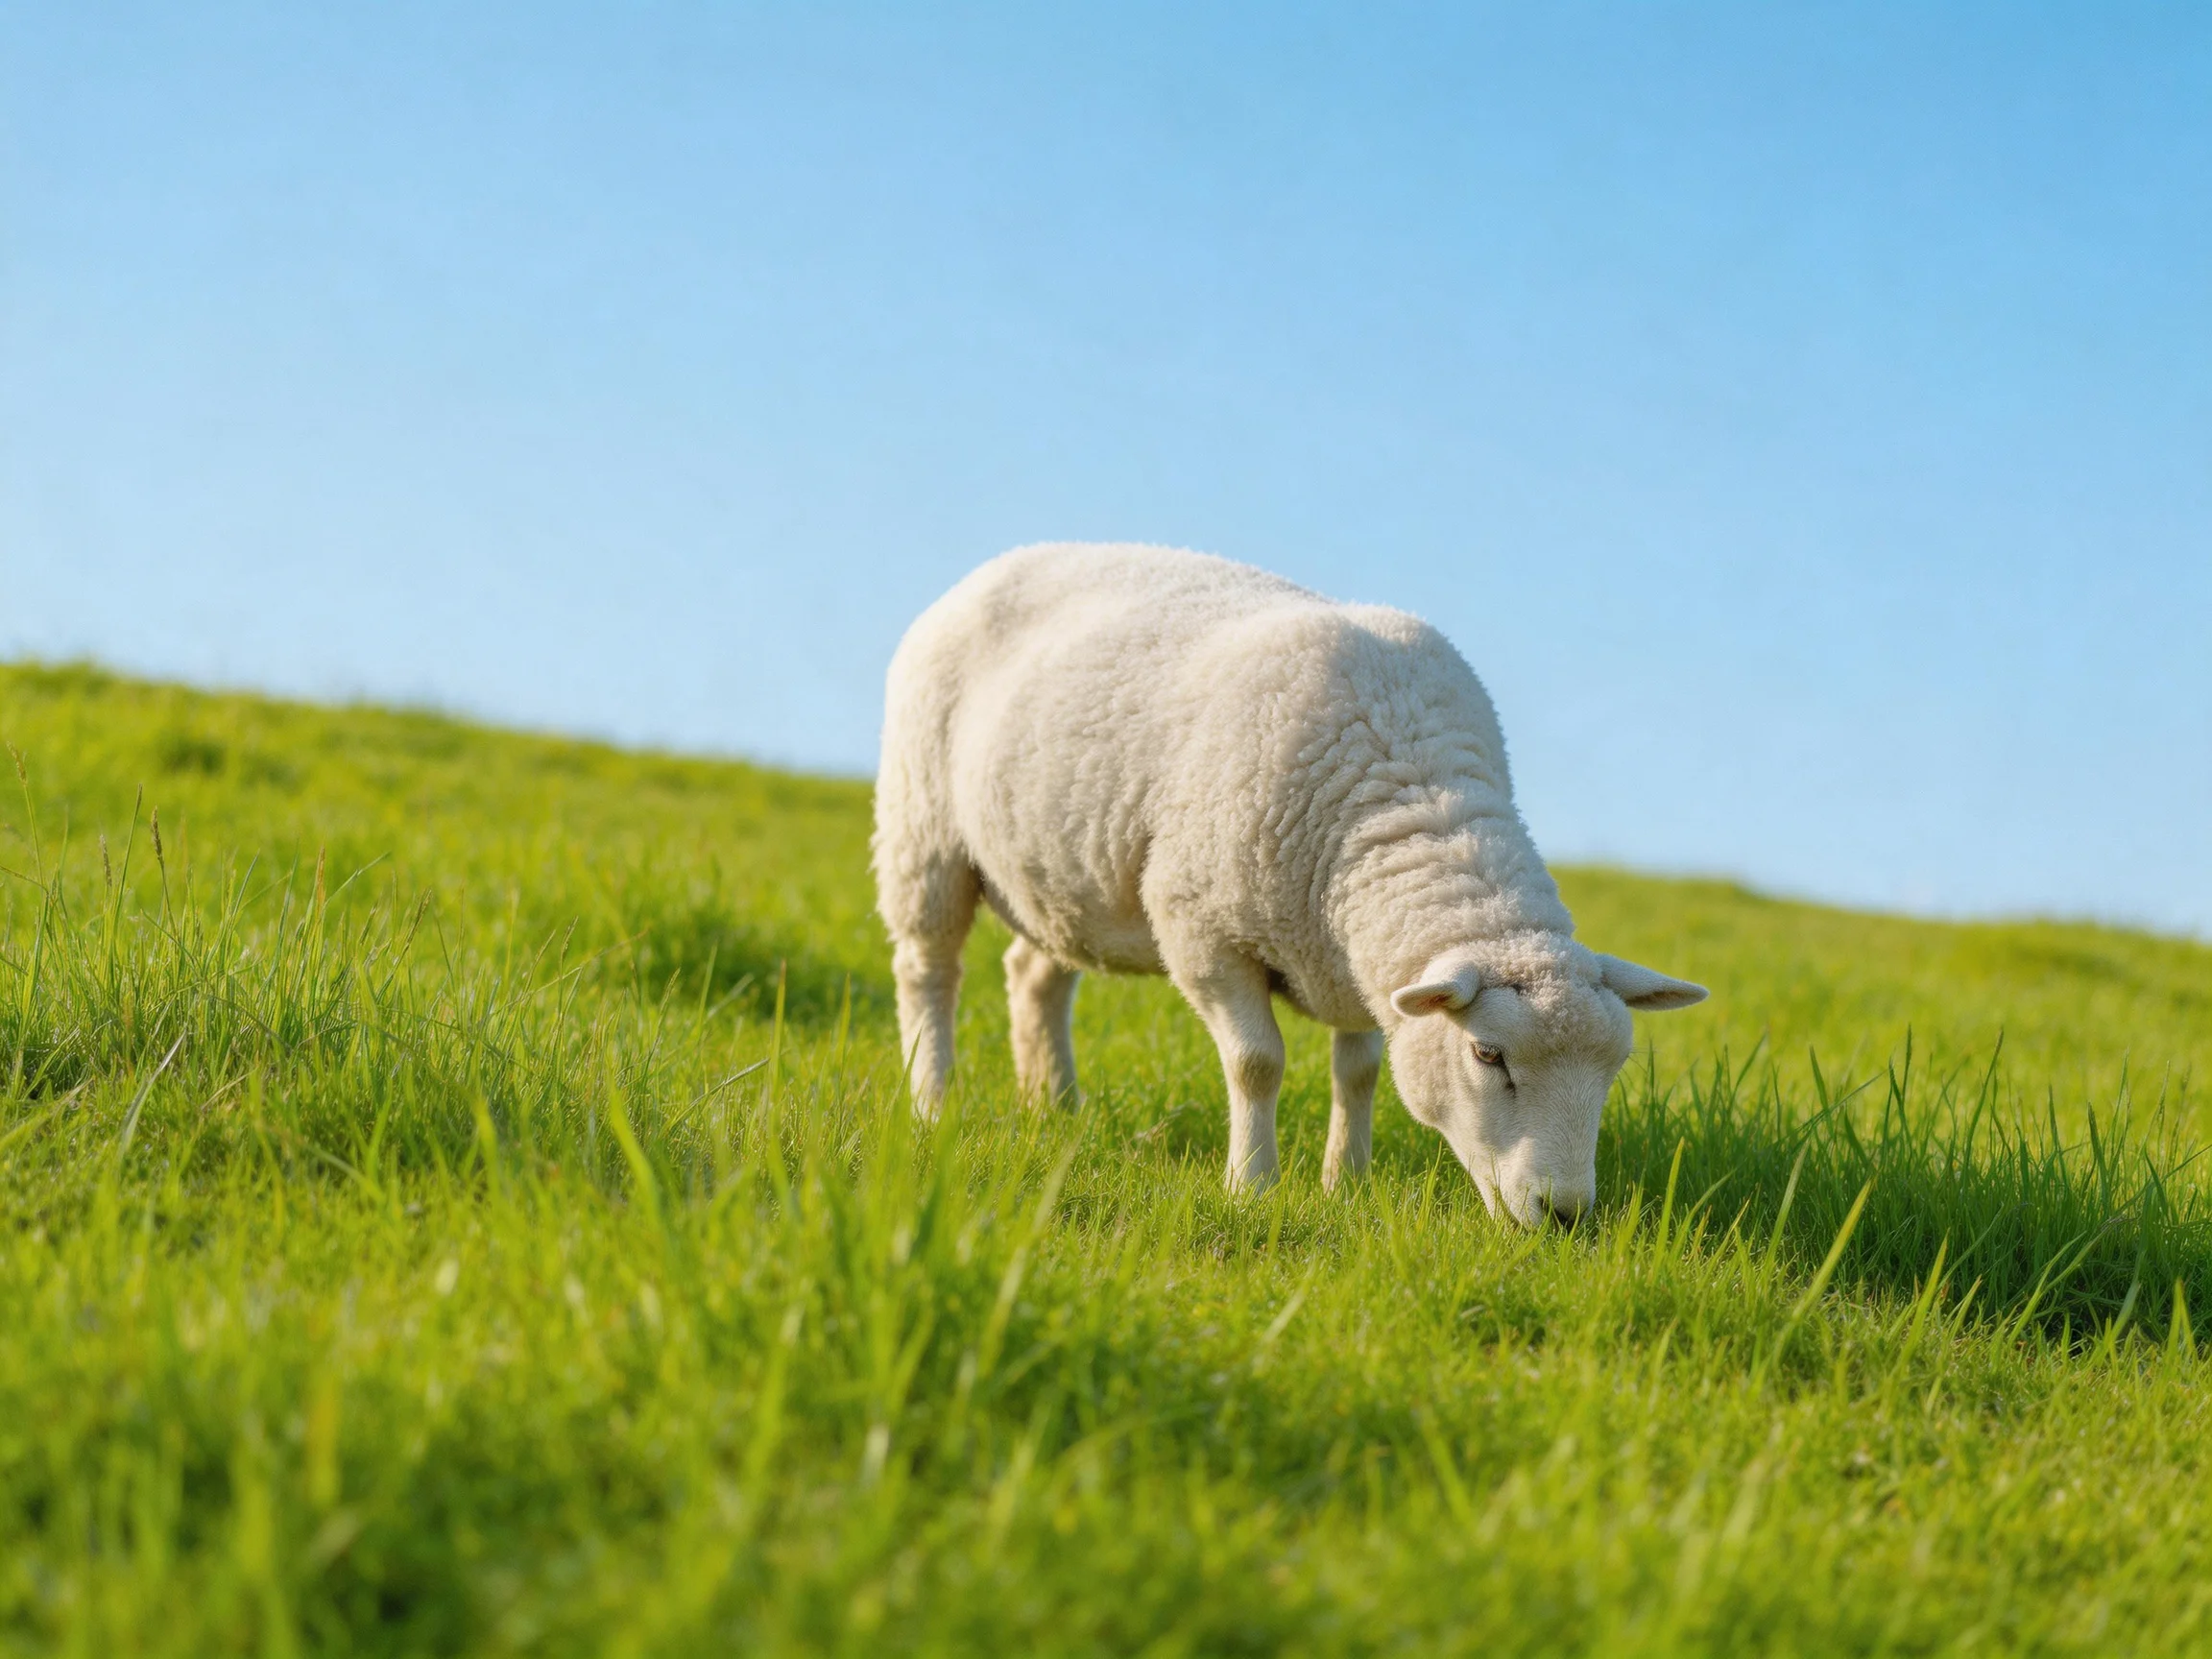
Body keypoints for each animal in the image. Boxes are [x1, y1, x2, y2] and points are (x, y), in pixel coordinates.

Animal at [872, 543, 1707, 1225]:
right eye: (1488, 1056)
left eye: (1614, 1068)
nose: (1563, 1215)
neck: (1411, 794)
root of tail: (1000, 562)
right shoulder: (1204, 933)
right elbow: (1257, 1063)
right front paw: (1252, 1187)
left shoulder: (1364, 966)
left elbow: (1361, 1072)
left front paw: (1348, 1183)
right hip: (925, 829)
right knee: (927, 970)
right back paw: (934, 1103)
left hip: (1064, 875)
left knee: (1034, 975)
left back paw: (1056, 1106)